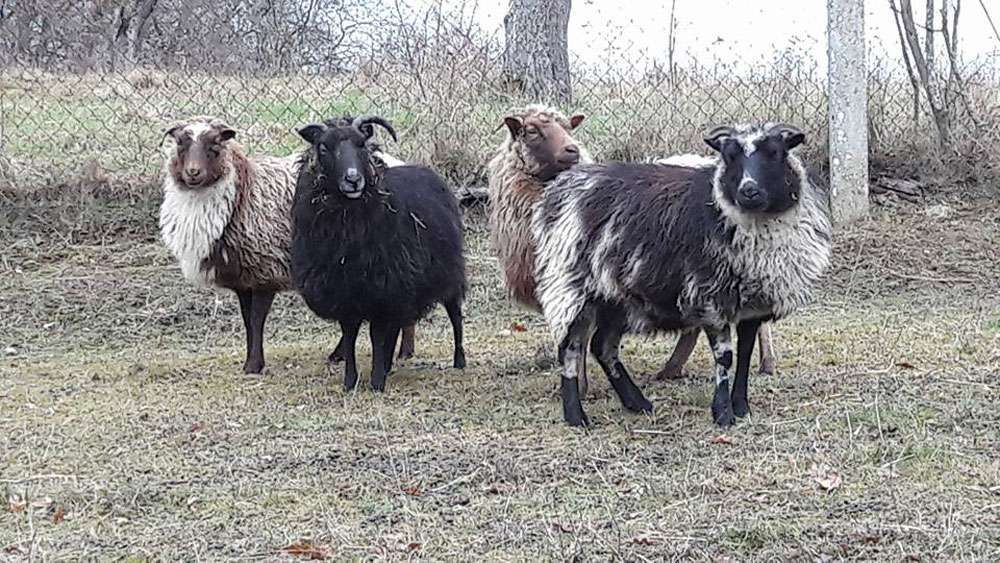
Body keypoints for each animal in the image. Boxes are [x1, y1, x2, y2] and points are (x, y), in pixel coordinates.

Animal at [159, 115, 418, 374]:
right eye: (180, 143)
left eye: (215, 144)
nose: (193, 172)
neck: (243, 193)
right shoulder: (244, 278)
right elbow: (247, 320)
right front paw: (250, 361)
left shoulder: (265, 271)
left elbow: (257, 319)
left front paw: (254, 365)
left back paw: (401, 351)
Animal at [286, 115, 464, 392]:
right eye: (323, 147)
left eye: (361, 143)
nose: (353, 179)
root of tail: (428, 172)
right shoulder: (344, 291)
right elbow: (350, 335)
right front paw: (351, 381)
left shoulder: (383, 286)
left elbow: (376, 336)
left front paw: (377, 380)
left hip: (447, 272)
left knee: (455, 314)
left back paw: (459, 360)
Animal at [536, 121, 832, 426]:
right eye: (729, 156)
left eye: (775, 152)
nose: (748, 191)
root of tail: (561, 188)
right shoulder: (710, 296)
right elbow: (725, 357)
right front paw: (723, 413)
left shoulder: (753, 305)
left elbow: (745, 354)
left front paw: (741, 407)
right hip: (570, 288)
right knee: (570, 349)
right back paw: (576, 415)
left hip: (615, 296)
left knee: (602, 347)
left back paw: (637, 403)